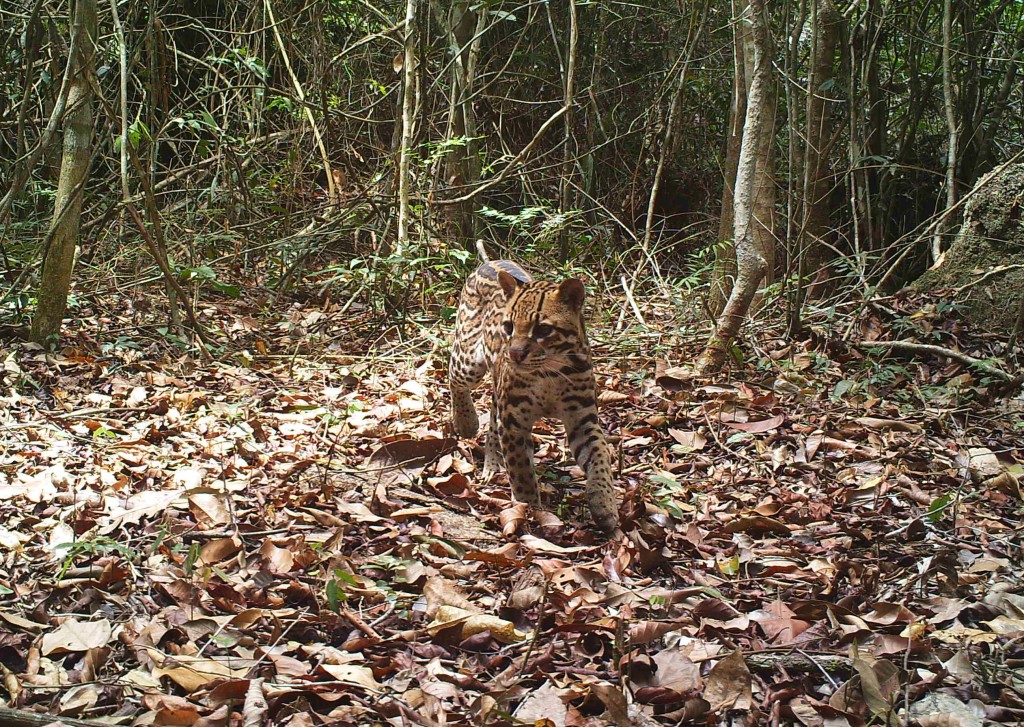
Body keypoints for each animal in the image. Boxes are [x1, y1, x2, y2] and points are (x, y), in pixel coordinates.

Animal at [446, 259, 614, 532]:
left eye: (543, 330)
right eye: (508, 326)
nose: (514, 354)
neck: (550, 373)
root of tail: (491, 261)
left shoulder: (583, 419)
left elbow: (600, 456)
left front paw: (604, 503)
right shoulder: (513, 421)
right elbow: (521, 470)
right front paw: (531, 510)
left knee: (492, 419)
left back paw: (492, 463)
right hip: (468, 358)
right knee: (454, 377)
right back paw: (466, 422)